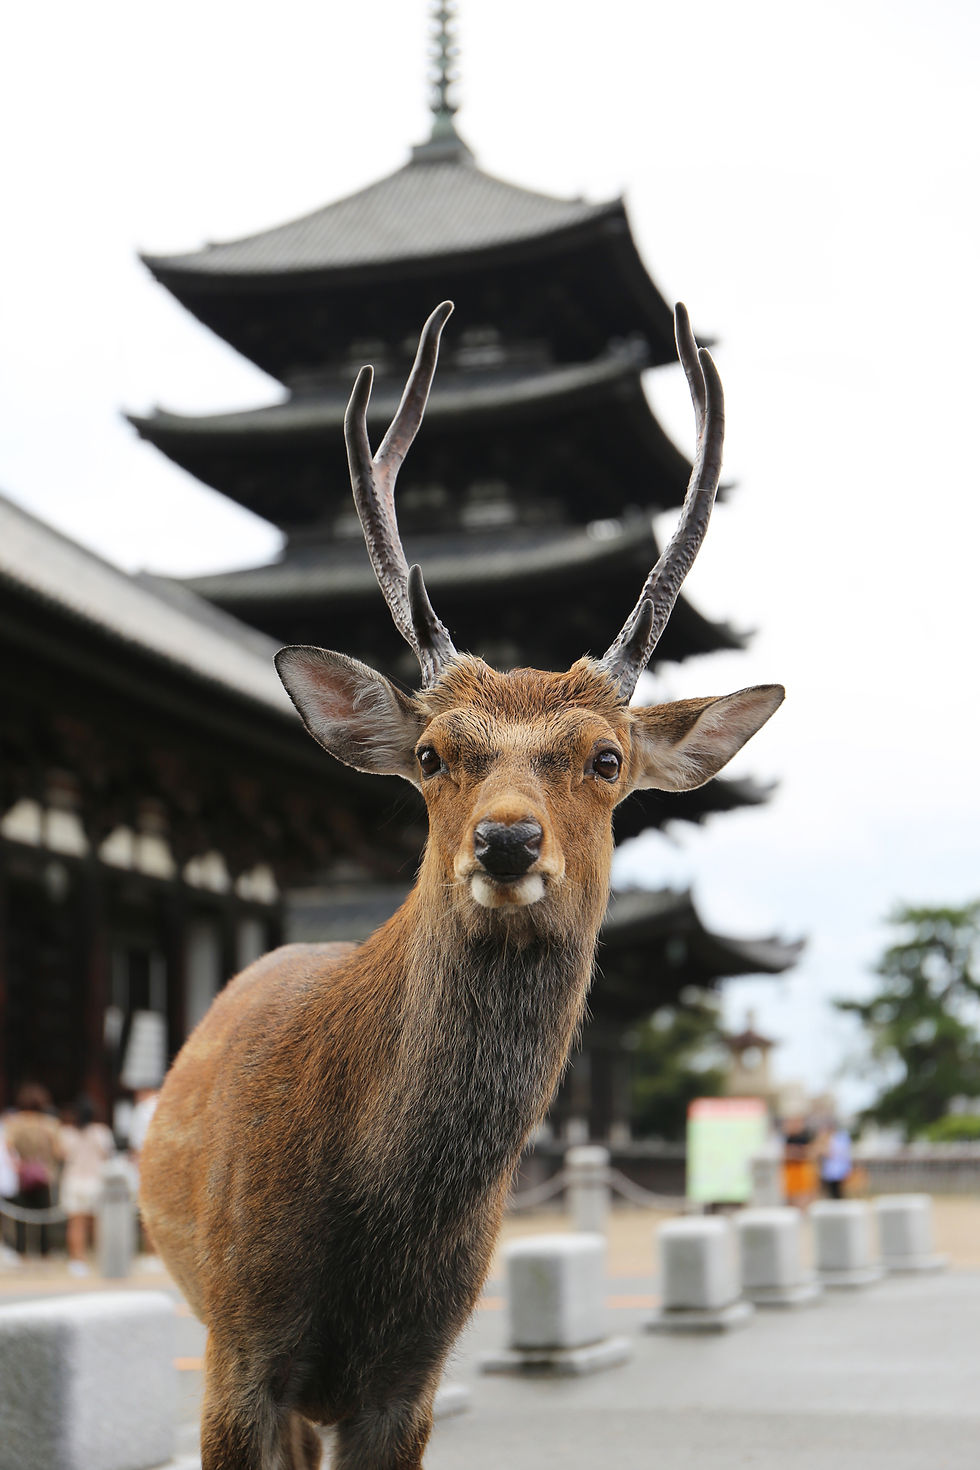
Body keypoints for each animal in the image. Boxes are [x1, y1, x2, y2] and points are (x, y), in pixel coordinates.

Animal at [139, 299, 783, 1470]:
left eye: (606, 758)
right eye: (435, 754)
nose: (507, 842)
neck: (370, 1223)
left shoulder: (414, 1374)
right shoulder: (237, 1349)